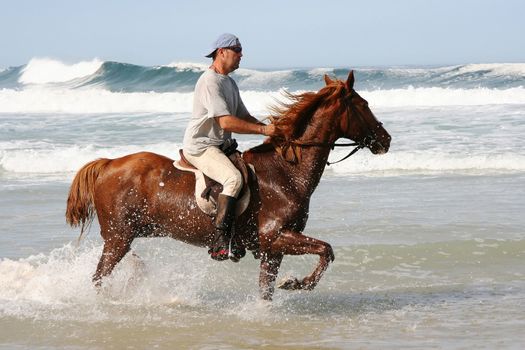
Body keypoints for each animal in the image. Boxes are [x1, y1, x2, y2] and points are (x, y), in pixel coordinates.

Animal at [64, 72, 388, 300]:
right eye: (364, 105)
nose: (386, 140)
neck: (286, 172)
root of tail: (108, 164)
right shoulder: (276, 236)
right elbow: (326, 250)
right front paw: (298, 283)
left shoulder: (271, 249)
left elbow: (267, 290)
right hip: (118, 238)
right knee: (99, 277)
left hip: (125, 236)